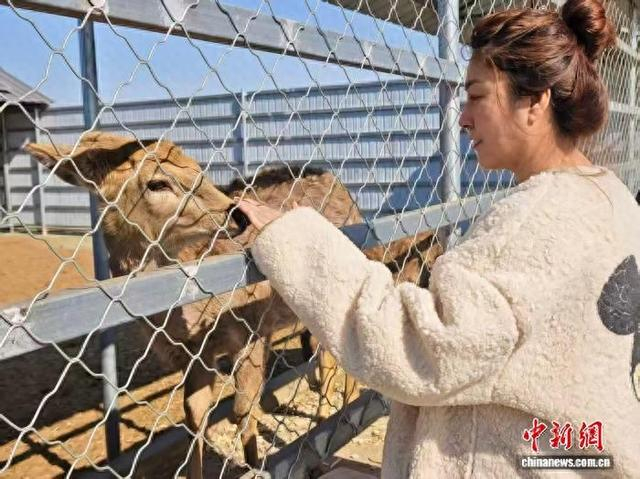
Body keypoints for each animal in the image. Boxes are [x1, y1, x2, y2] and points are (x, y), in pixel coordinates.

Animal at [26, 131, 442, 478]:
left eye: (200, 170)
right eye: (157, 182)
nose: (237, 212)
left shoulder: (251, 329)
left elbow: (243, 408)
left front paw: (258, 465)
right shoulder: (193, 355)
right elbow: (195, 416)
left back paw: (336, 420)